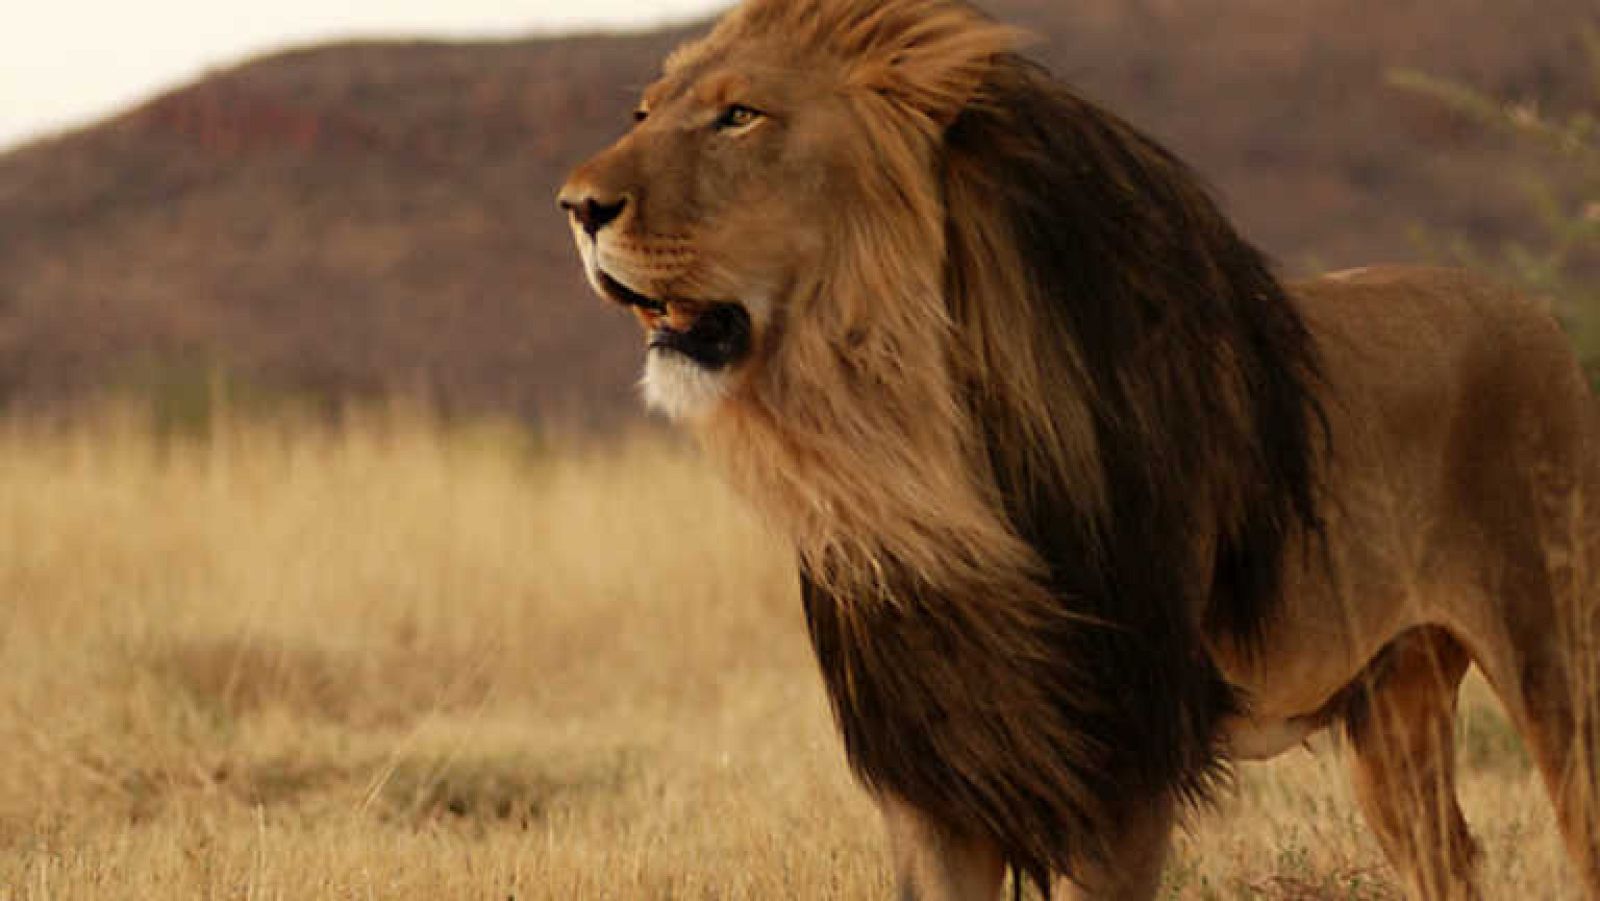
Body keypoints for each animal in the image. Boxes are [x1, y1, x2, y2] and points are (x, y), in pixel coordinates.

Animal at [556, 0, 1600, 897]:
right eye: (644, 111)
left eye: (739, 116)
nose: (577, 206)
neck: (909, 453)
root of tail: (1538, 313)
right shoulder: (932, 777)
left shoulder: (1120, 772)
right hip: (1393, 708)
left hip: (1560, 661)